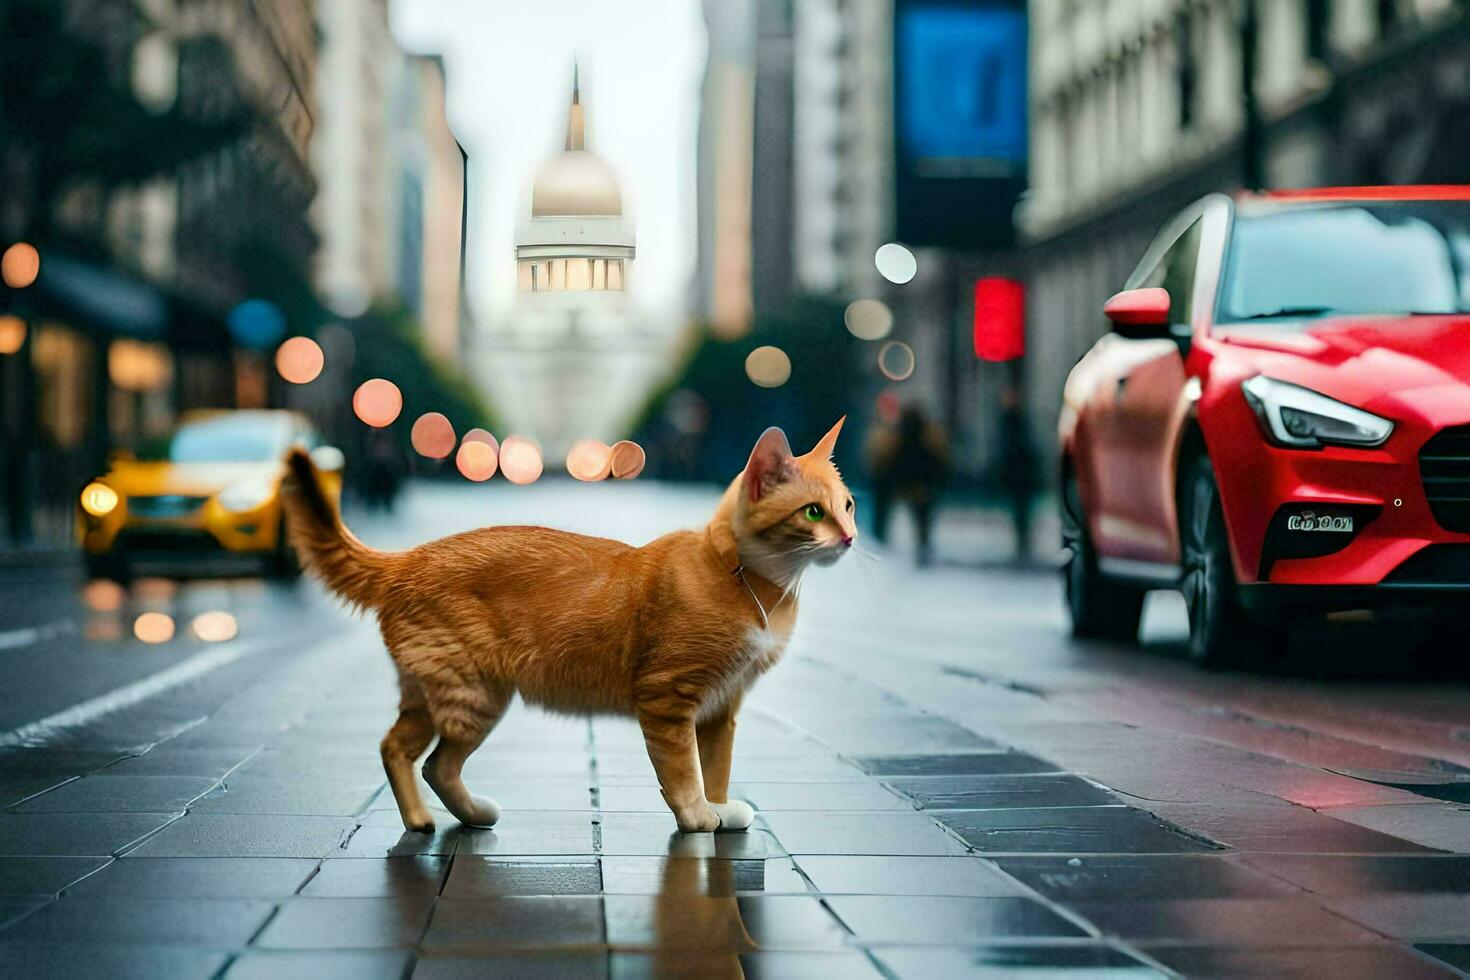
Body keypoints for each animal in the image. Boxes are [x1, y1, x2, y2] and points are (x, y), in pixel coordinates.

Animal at [282, 423, 858, 834]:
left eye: (848, 505)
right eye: (813, 512)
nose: (851, 537)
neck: (757, 588)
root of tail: (409, 558)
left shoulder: (722, 708)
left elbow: (716, 766)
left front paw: (721, 808)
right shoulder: (669, 699)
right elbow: (683, 771)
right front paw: (698, 816)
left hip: (438, 692)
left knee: (410, 754)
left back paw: (462, 817)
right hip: (472, 694)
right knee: (421, 759)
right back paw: (425, 822)